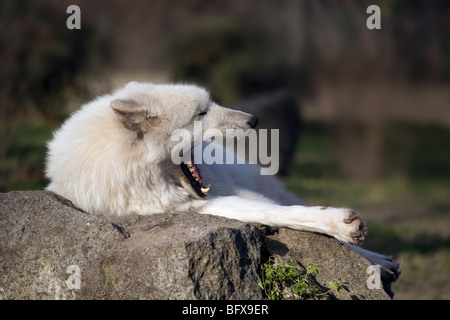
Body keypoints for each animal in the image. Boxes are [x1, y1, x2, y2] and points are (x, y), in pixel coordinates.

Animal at [44, 80, 398, 282]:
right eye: (201, 114)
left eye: (209, 105)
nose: (254, 119)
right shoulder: (190, 207)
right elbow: (277, 214)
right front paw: (343, 226)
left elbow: (290, 213)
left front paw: (349, 232)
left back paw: (380, 261)